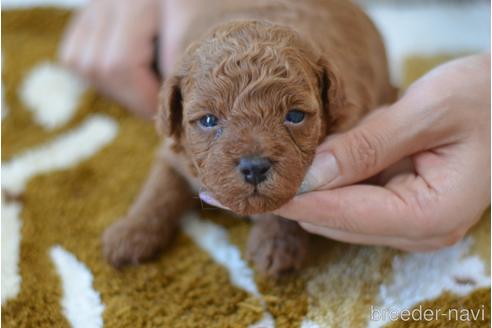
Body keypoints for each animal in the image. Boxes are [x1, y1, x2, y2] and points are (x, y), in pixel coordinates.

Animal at [104, 0, 396, 276]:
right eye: (208, 120)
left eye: (295, 116)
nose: (254, 168)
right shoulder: (173, 152)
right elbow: (160, 188)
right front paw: (131, 232)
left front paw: (276, 244)